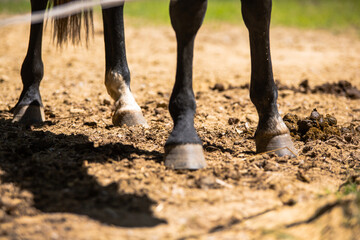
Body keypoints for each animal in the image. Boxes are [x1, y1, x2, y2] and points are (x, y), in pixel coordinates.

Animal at [11, 0, 298, 170]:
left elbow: (259, 13)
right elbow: (188, 13)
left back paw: (126, 102)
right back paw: (30, 98)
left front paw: (272, 126)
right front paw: (184, 134)